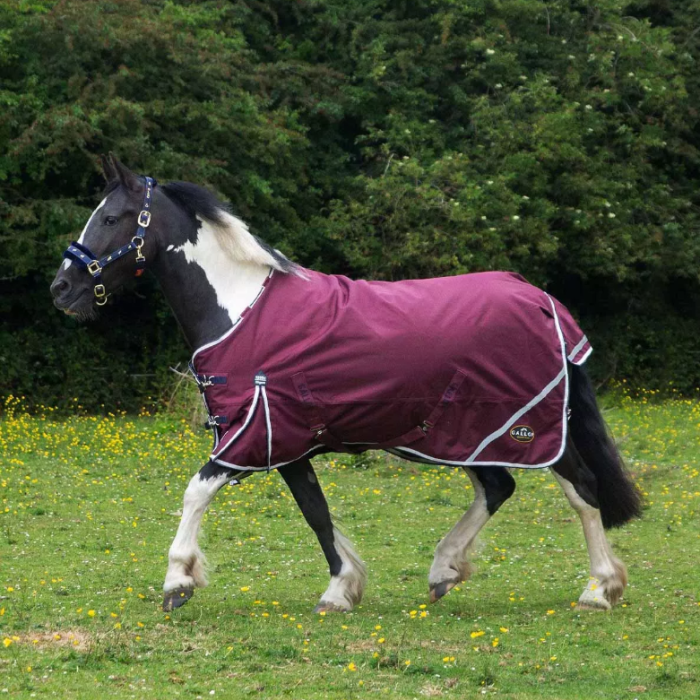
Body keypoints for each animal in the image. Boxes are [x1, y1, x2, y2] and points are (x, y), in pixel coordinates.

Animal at [50, 155, 641, 614]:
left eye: (112, 217)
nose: (61, 288)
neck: (239, 309)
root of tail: (541, 301)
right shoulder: (287, 444)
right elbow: (317, 513)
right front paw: (341, 588)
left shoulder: (249, 439)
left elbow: (197, 490)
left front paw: (178, 581)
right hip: (471, 434)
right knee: (498, 487)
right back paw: (444, 570)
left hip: (530, 430)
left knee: (582, 490)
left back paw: (597, 589)